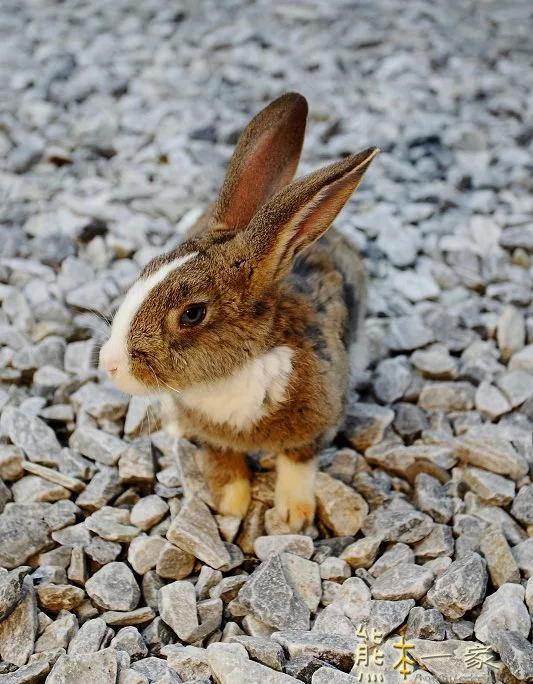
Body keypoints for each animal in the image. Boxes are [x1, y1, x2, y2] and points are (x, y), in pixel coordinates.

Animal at [98, 92, 374, 528]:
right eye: (147, 269)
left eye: (192, 313)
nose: (109, 364)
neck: (232, 372)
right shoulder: (213, 437)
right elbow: (224, 461)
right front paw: (230, 505)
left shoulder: (316, 422)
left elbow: (298, 463)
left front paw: (294, 515)